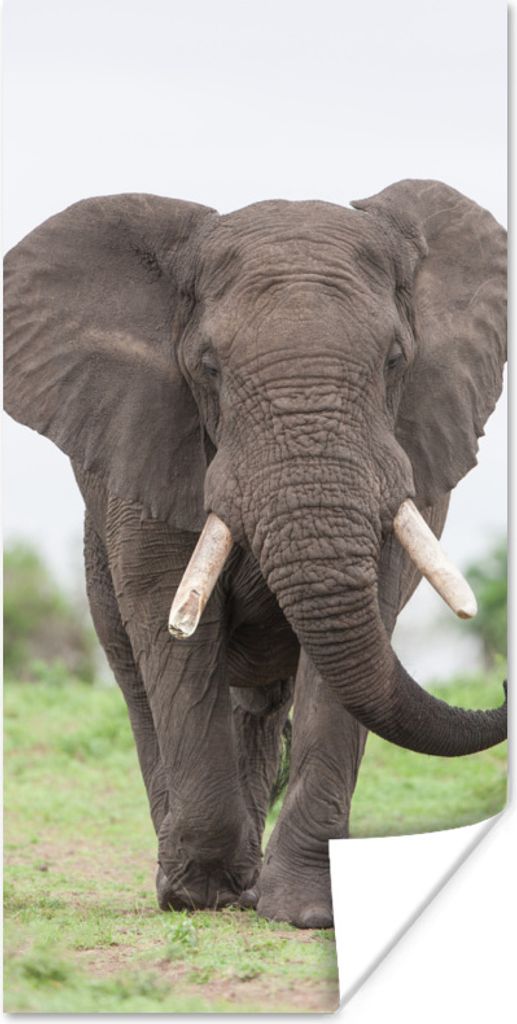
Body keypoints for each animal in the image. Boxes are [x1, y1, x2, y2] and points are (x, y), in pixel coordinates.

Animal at [4, 179, 507, 929]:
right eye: (208, 368)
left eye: (394, 360)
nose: (504, 686)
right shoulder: (150, 447)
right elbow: (171, 623)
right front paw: (199, 896)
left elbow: (358, 632)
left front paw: (305, 911)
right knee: (138, 677)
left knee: (263, 699)